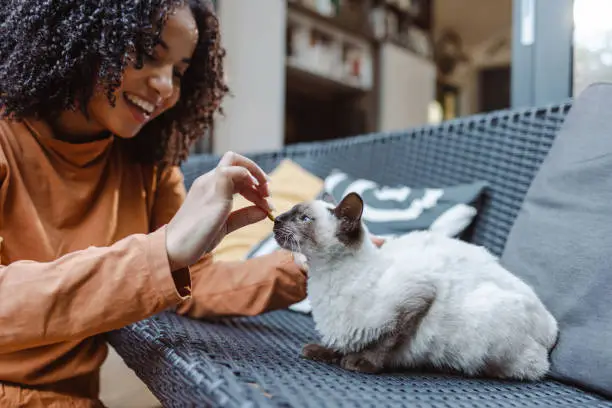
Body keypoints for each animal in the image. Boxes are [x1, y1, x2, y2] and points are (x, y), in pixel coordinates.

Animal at [272, 191, 560, 380]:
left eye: (303, 219)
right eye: (289, 214)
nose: (276, 219)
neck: (323, 279)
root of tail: (551, 325)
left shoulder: (417, 297)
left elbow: (384, 342)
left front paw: (361, 362)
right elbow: (343, 342)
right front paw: (326, 351)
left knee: (525, 370)